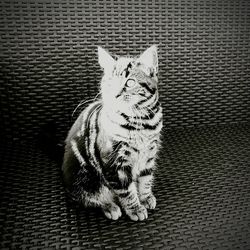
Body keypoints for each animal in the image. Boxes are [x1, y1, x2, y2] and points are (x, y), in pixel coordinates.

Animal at [62, 45, 163, 221]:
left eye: (130, 82)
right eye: (110, 82)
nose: (115, 93)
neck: (141, 123)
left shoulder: (149, 155)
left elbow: (146, 179)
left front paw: (145, 197)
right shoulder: (115, 163)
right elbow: (126, 191)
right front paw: (135, 209)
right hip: (87, 179)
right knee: (86, 198)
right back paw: (110, 207)